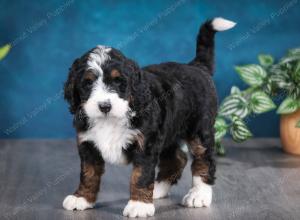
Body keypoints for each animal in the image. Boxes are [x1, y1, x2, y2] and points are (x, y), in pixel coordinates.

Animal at [62, 16, 236, 217]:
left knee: (204, 159)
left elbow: (141, 175)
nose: (105, 106)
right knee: (177, 159)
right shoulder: (88, 143)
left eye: (119, 82)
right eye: (88, 83)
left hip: (199, 129)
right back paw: (158, 188)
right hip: (168, 131)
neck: (111, 119)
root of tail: (196, 66)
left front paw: (139, 205)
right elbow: (88, 173)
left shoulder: (145, 144)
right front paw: (82, 198)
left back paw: (198, 195)